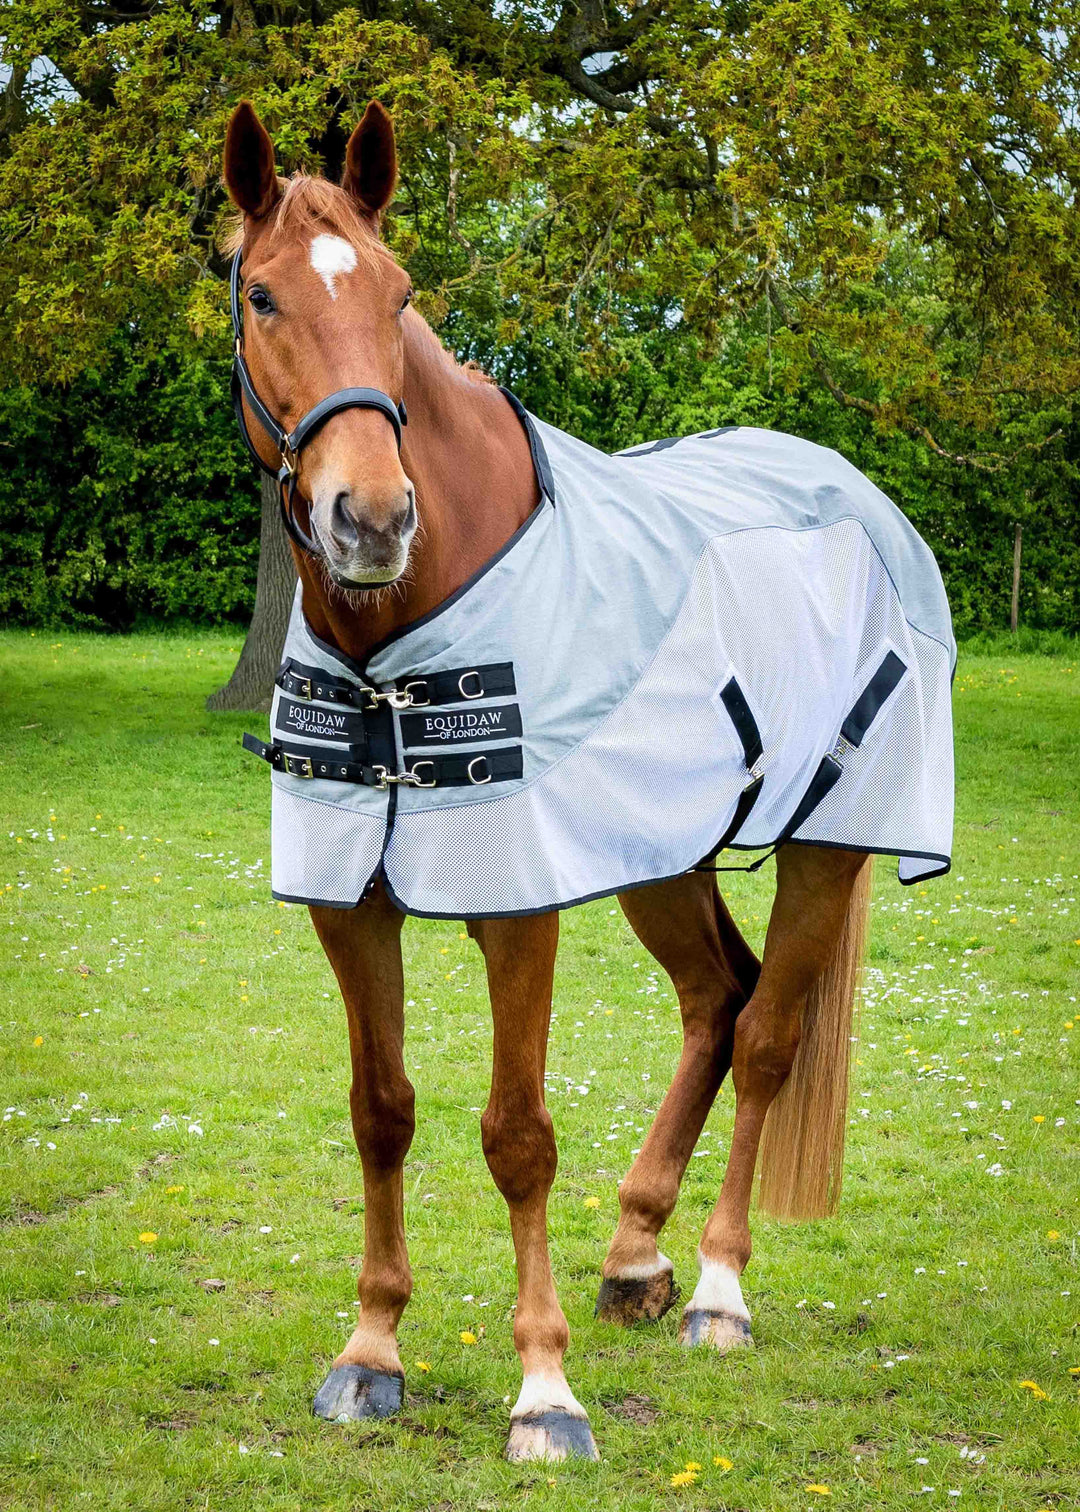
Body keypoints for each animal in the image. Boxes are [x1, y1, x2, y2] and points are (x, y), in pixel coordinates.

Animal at [221, 97, 897, 1463]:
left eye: (399, 291)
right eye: (263, 295)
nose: (374, 518)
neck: (397, 648)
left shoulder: (517, 906)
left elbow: (517, 1136)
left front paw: (545, 1390)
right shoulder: (350, 907)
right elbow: (381, 1108)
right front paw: (371, 1350)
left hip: (828, 846)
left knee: (767, 1034)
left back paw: (717, 1289)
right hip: (662, 857)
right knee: (717, 999)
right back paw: (636, 1252)